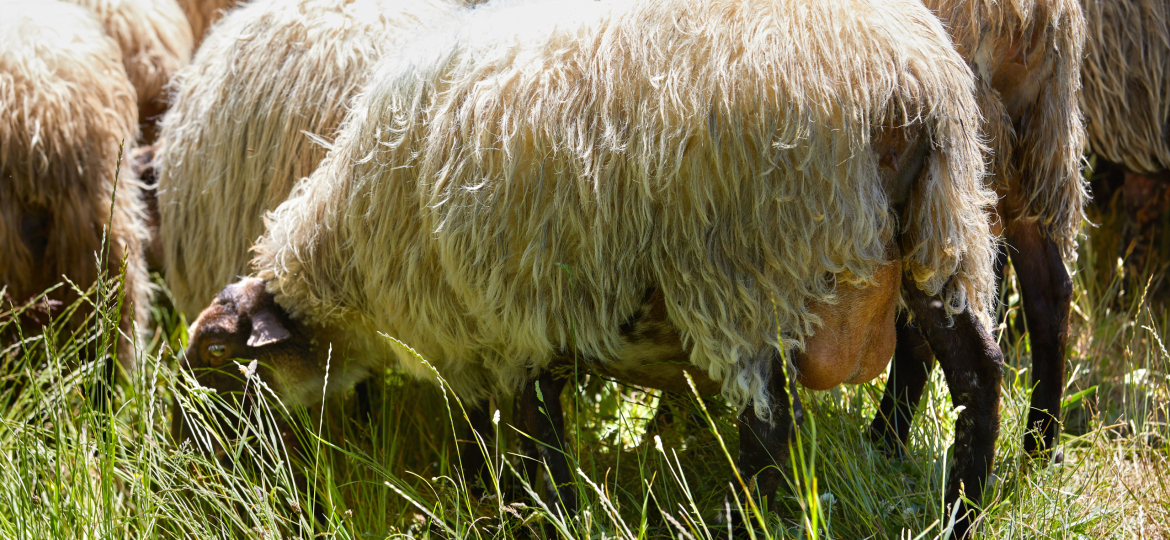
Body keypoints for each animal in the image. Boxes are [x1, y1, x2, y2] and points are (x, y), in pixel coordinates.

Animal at [870, 0, 1085, 460]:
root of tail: (1033, 15)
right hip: (1022, 147)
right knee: (1052, 291)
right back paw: (1039, 446)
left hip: (950, 171)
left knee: (928, 332)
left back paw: (884, 442)